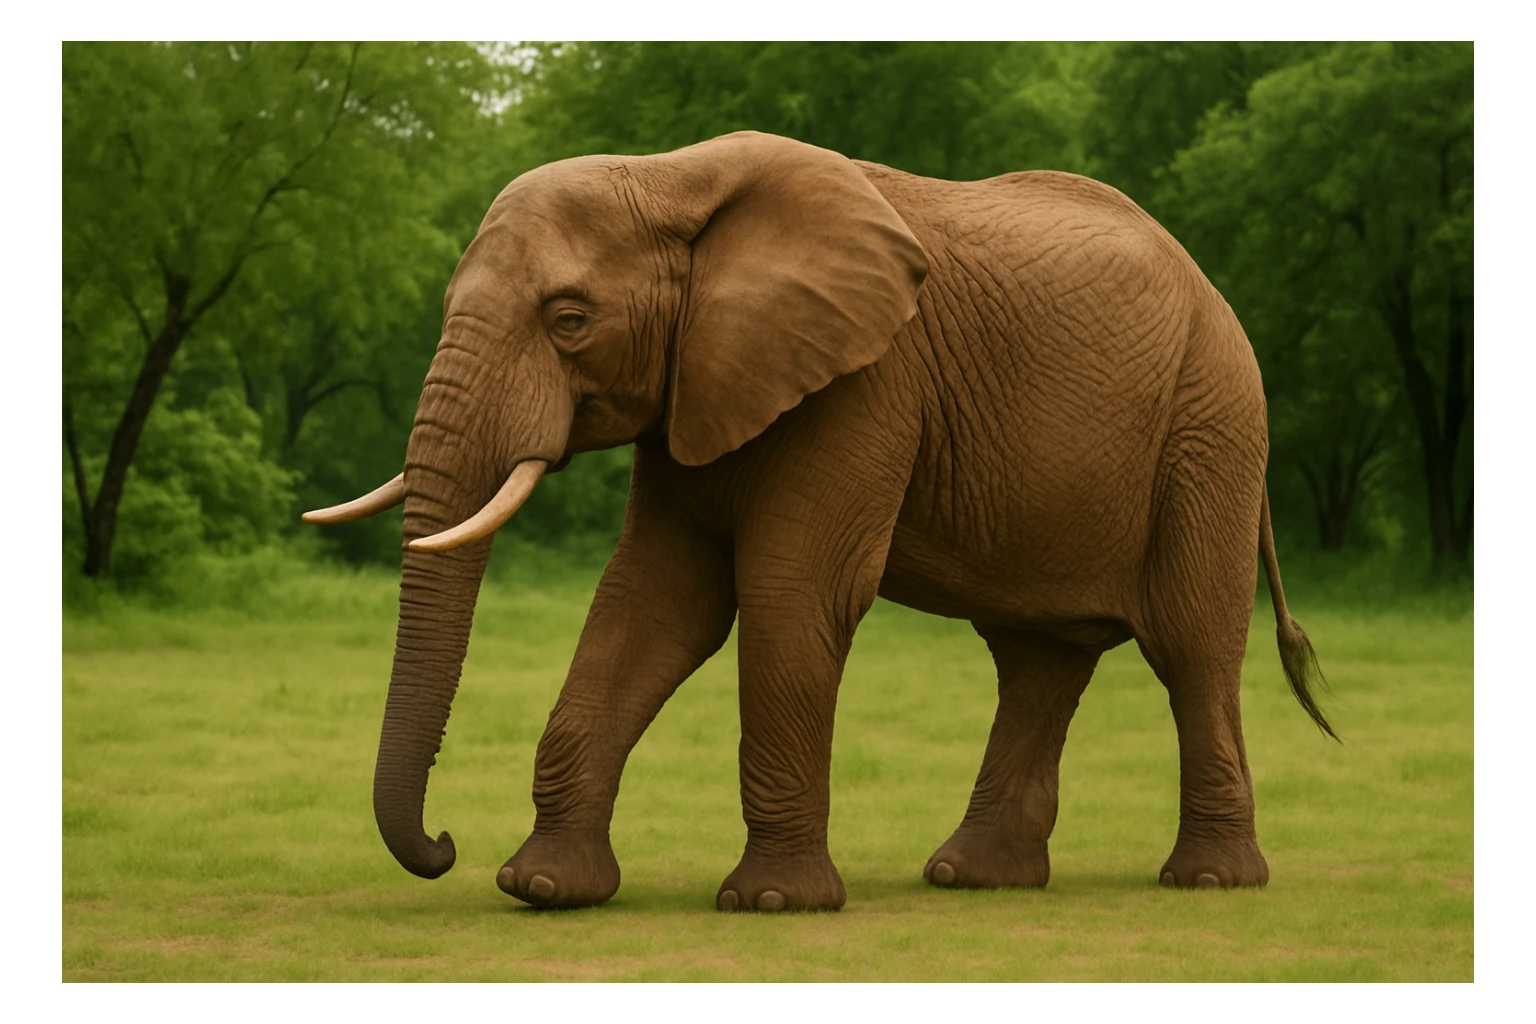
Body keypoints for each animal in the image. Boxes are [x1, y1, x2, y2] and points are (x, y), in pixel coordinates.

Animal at [304, 130, 1334, 913]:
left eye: (569, 319)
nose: (444, 841)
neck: (672, 176)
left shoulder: (868, 382)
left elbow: (792, 595)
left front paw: (771, 903)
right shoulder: (699, 382)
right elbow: (653, 604)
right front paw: (544, 889)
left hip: (1210, 430)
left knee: (1190, 646)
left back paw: (1210, 881)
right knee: (1037, 660)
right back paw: (972, 878)